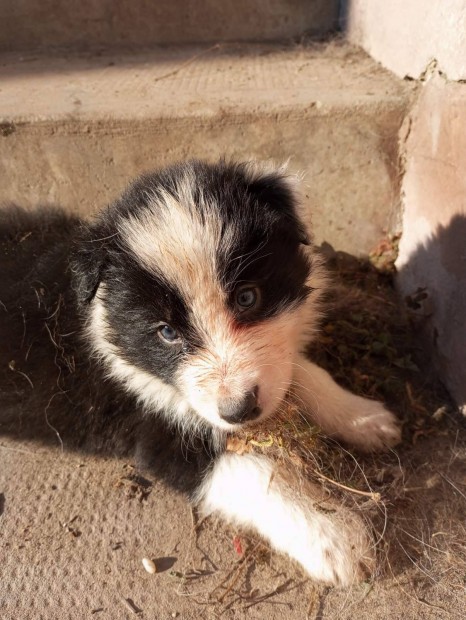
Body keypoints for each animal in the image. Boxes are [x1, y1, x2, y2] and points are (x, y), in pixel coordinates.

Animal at [0, 160, 400, 588]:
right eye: (167, 332)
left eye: (247, 297)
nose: (240, 411)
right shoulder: (153, 431)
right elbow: (257, 473)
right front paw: (335, 537)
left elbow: (299, 372)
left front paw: (363, 418)